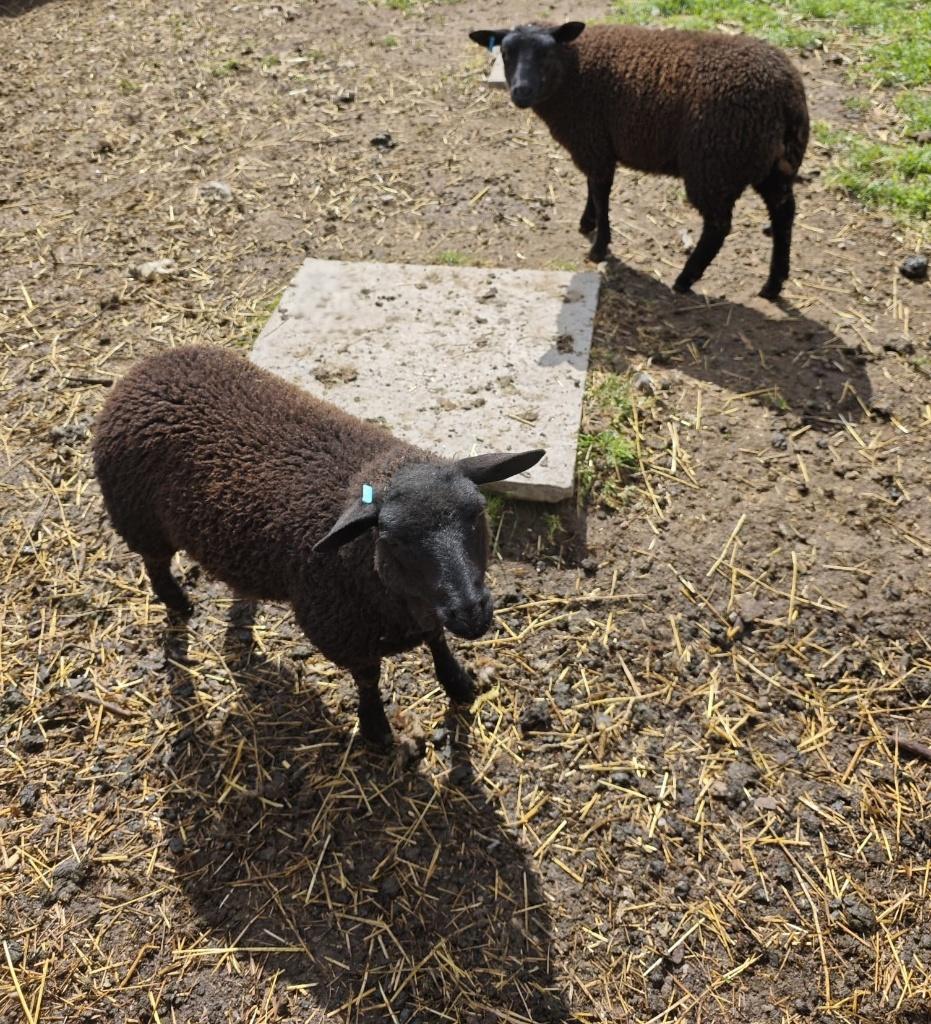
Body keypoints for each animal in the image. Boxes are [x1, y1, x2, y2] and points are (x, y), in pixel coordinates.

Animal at [92, 345, 544, 745]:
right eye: (392, 539)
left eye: (477, 514)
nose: (471, 612)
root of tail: (147, 367)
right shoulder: (341, 631)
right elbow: (368, 679)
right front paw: (376, 729)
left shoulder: (424, 611)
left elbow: (437, 641)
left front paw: (459, 684)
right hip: (139, 517)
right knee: (154, 562)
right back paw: (177, 602)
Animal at [469, 22, 809, 300]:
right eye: (505, 53)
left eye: (546, 53)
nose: (520, 92)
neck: (574, 72)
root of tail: (786, 94)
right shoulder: (596, 144)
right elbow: (592, 187)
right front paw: (587, 222)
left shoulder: (593, 140)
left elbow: (600, 192)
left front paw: (598, 247)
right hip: (769, 163)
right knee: (784, 212)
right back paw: (773, 284)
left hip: (714, 163)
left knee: (718, 226)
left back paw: (685, 279)